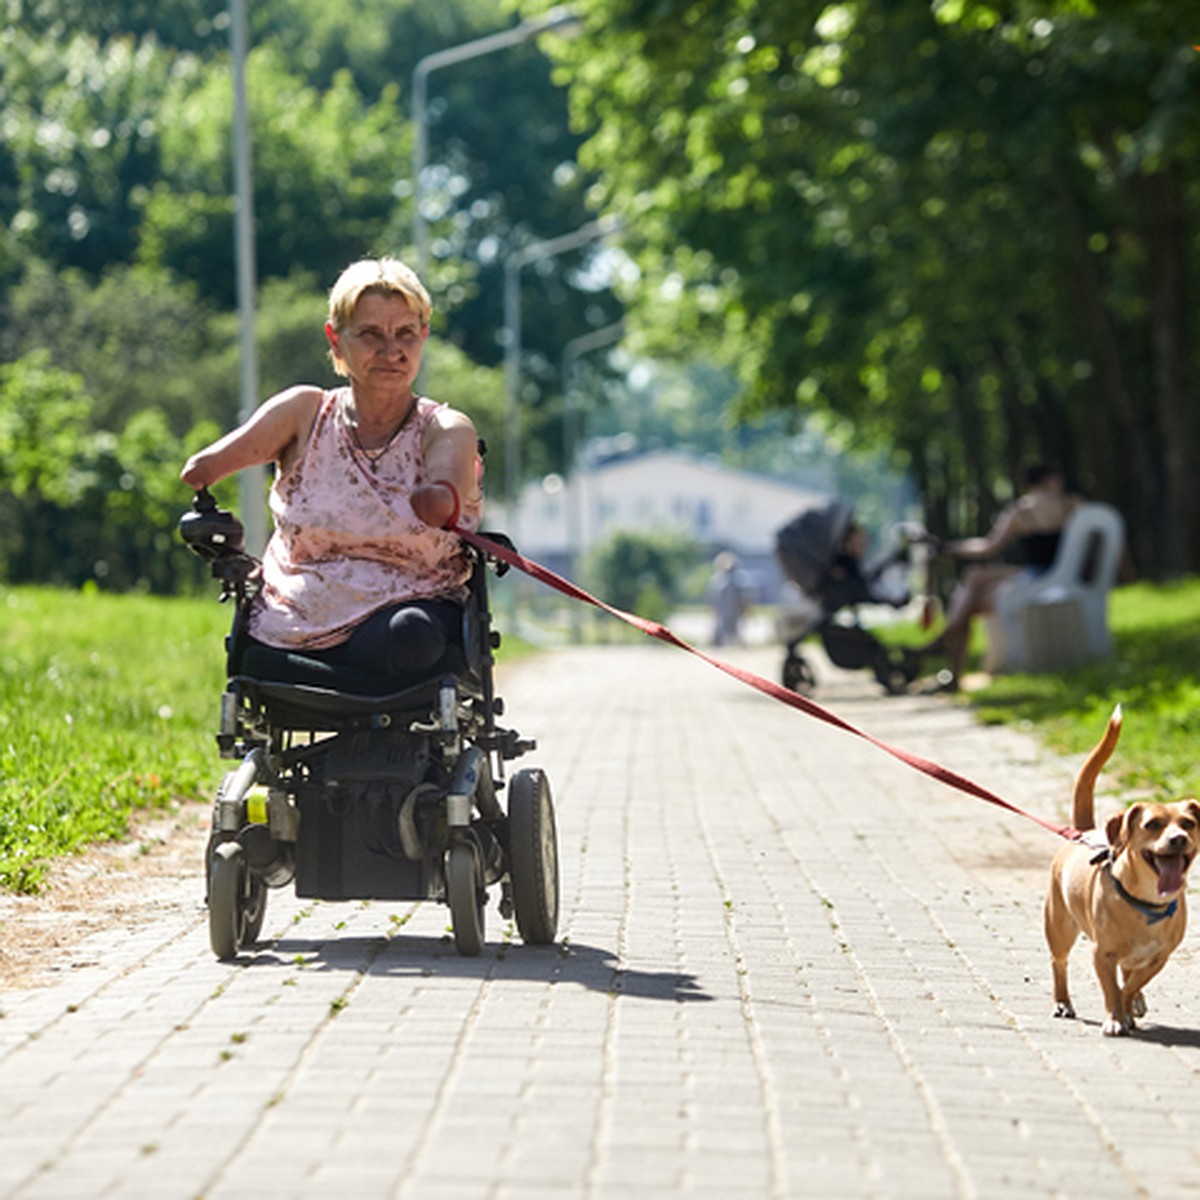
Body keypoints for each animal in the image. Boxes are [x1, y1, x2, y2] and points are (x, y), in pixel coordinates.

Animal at [1041, 705, 1200, 1036]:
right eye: (1152, 824)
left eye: (1188, 824)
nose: (1178, 838)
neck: (1147, 904)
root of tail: (1084, 831)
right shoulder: (1102, 954)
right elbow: (1112, 989)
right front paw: (1116, 1018)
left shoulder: (1159, 957)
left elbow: (1129, 985)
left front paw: (1128, 1008)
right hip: (1059, 927)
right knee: (1059, 962)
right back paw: (1062, 1002)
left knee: (1128, 976)